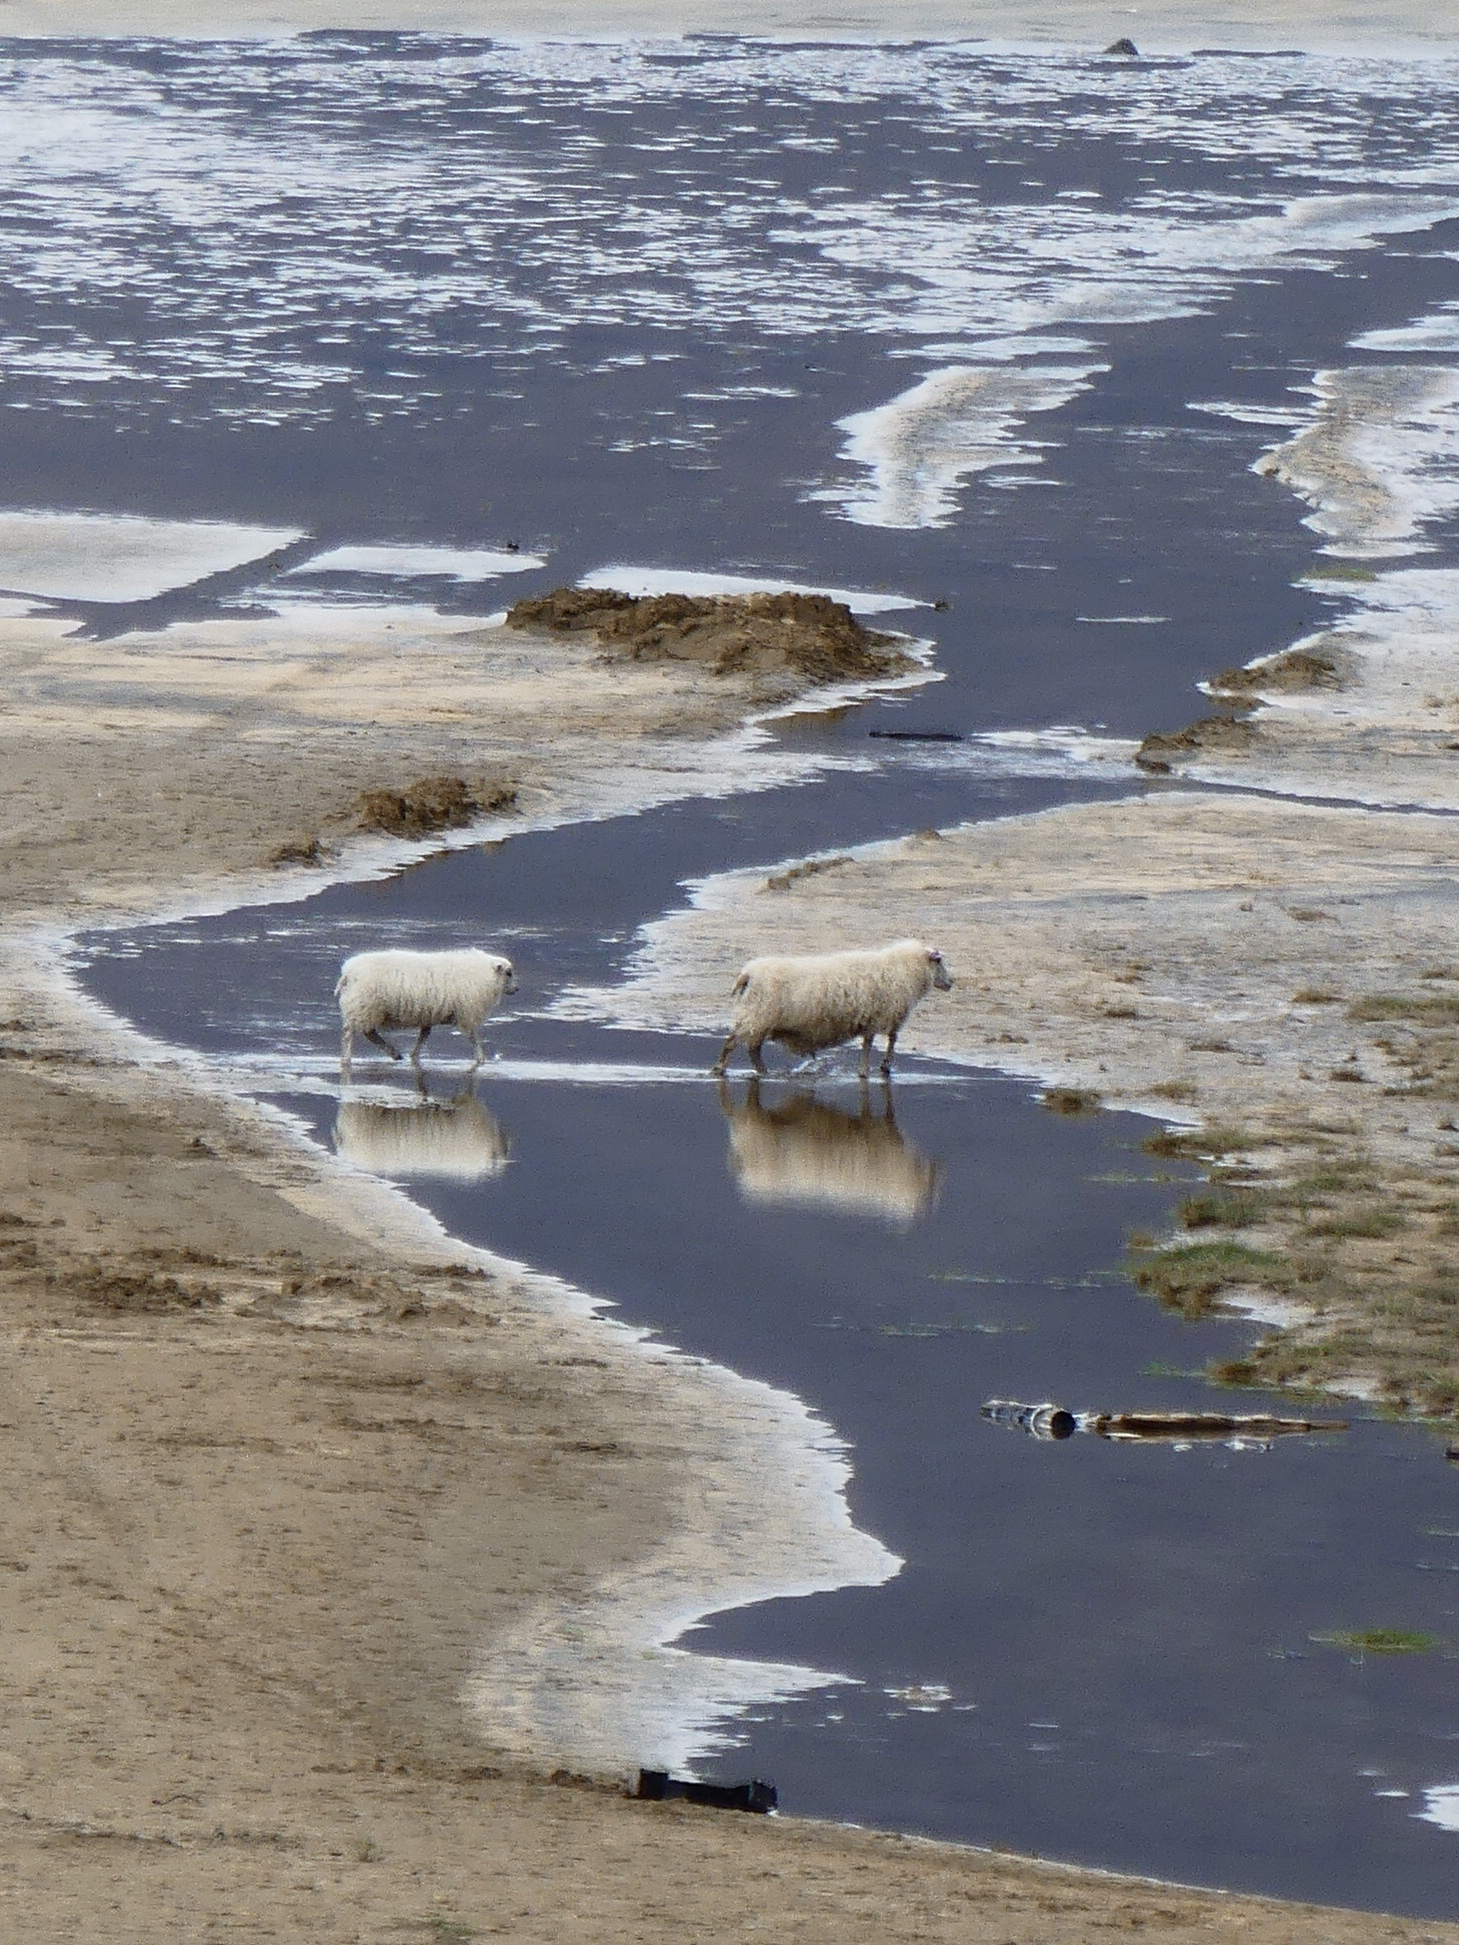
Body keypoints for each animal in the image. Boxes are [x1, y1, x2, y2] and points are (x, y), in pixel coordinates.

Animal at [337, 947, 517, 1074]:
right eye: (508, 973)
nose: (517, 989)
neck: (482, 974)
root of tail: (348, 972)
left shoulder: (428, 1016)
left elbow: (423, 1037)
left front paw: (413, 1056)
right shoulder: (466, 1013)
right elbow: (473, 1037)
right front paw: (481, 1058)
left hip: (364, 1009)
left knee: (369, 1032)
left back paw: (395, 1054)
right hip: (363, 1007)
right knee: (351, 1034)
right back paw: (349, 1059)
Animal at [711, 938, 952, 1080]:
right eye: (939, 961)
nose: (951, 983)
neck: (903, 970)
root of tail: (747, 974)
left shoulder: (880, 1017)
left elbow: (889, 1039)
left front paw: (882, 1067)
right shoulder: (877, 1016)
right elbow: (875, 1043)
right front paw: (869, 1070)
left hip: (755, 1018)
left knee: (748, 1046)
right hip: (757, 1016)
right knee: (738, 1045)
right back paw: (734, 1070)